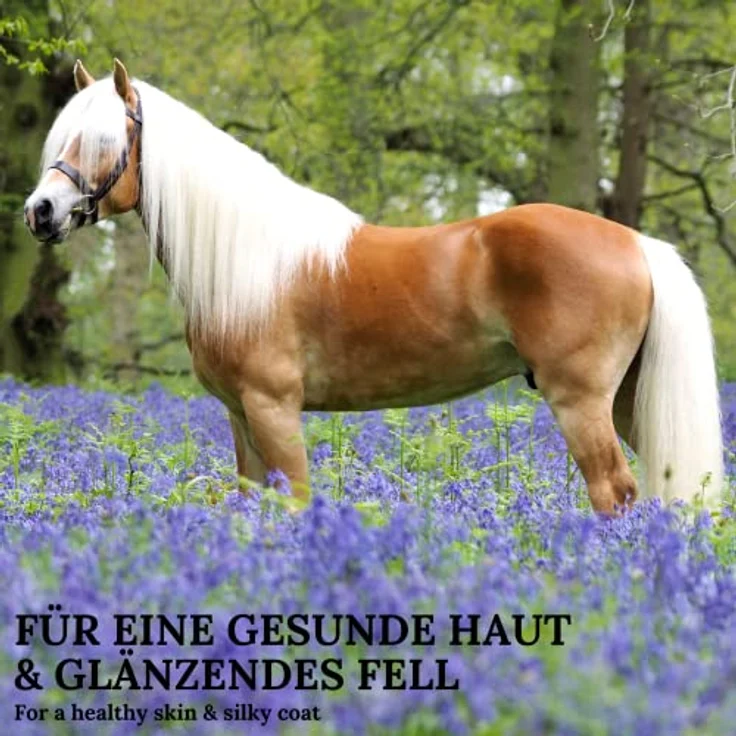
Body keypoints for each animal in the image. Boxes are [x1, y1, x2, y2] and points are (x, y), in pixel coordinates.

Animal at [24, 59, 724, 514]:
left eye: (106, 140)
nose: (41, 212)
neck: (247, 260)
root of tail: (636, 242)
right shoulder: (240, 414)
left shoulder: (273, 408)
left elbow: (295, 504)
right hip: (629, 400)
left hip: (580, 401)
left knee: (614, 494)